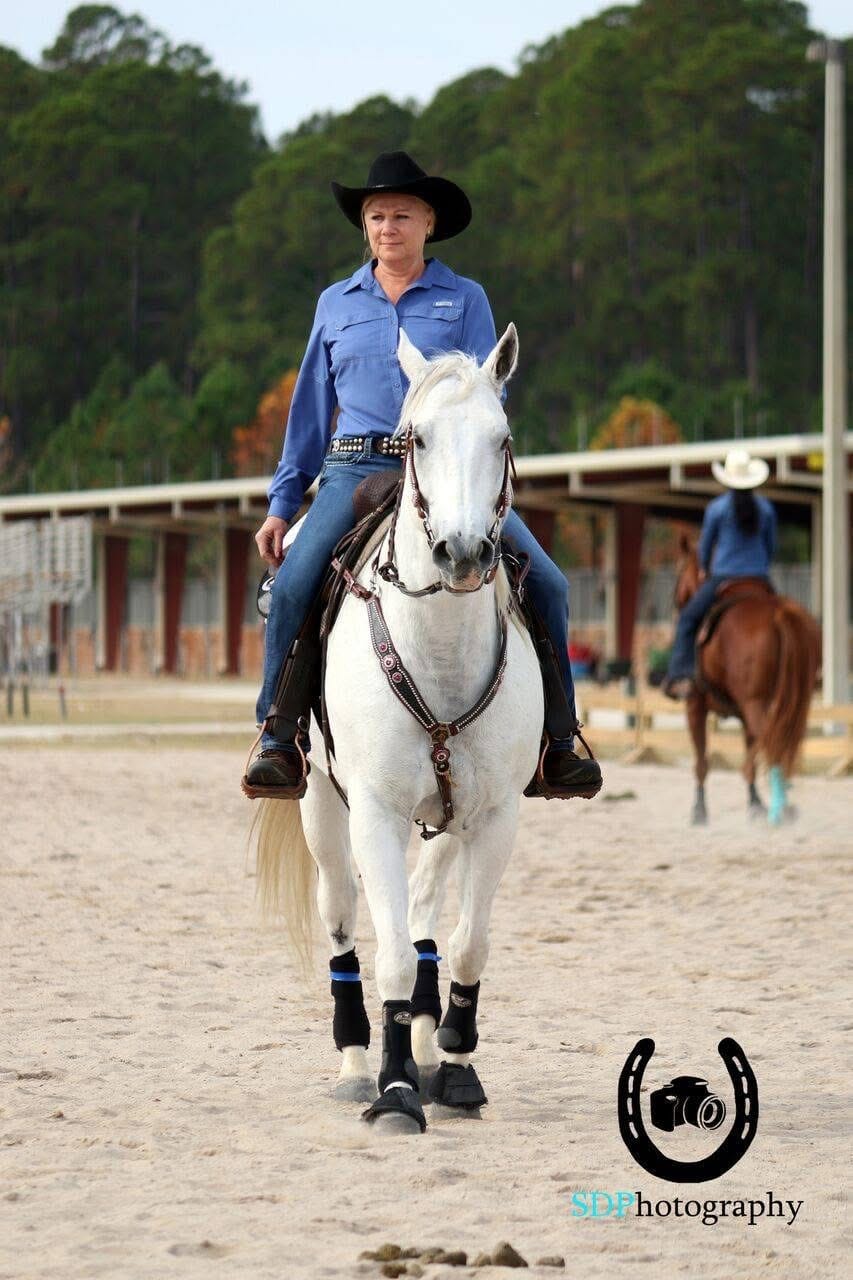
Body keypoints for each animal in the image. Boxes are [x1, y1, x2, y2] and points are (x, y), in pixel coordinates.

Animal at [253, 324, 543, 1134]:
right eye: (418, 439)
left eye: (502, 438)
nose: (463, 552)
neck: (436, 649)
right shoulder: (375, 815)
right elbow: (384, 953)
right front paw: (393, 1090)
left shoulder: (495, 817)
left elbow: (467, 946)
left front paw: (456, 1066)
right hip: (321, 806)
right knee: (344, 922)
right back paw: (356, 1062)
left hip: (444, 817)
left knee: (420, 918)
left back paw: (422, 1041)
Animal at [673, 534, 820, 827]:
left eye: (680, 569)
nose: (676, 600)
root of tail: (778, 612)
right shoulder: (742, 712)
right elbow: (750, 756)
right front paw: (754, 804)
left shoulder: (695, 705)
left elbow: (701, 760)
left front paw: (699, 810)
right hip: (793, 703)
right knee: (780, 743)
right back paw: (783, 805)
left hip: (756, 704)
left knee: (773, 742)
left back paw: (779, 809)